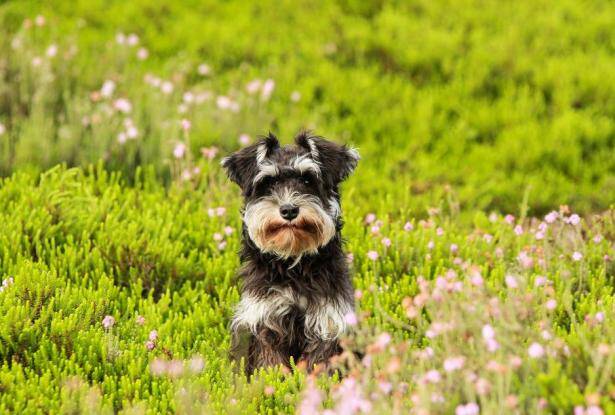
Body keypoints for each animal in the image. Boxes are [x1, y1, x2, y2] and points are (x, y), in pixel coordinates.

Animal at [221, 132, 358, 376]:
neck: (294, 264)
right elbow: (271, 365)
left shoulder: (327, 323)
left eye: (307, 180)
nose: (289, 210)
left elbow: (317, 365)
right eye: (268, 182)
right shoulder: (265, 322)